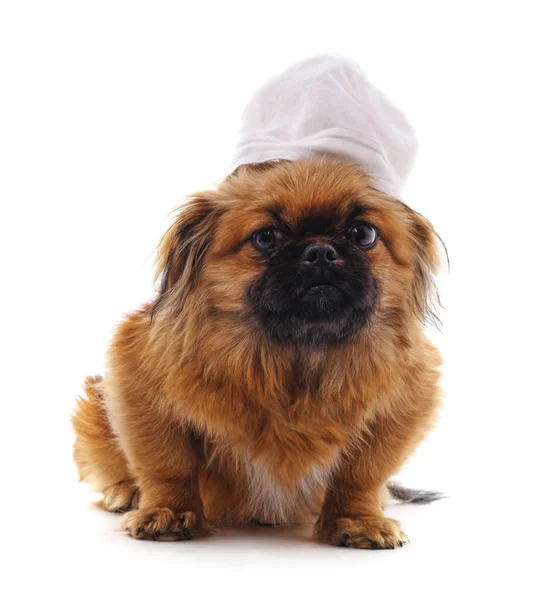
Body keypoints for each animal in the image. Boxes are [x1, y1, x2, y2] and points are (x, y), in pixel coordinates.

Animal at [72, 156, 442, 548]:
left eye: (362, 234)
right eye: (266, 237)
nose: (321, 251)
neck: (297, 354)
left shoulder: (404, 405)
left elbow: (361, 475)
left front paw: (357, 520)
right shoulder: (137, 385)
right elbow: (168, 463)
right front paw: (169, 511)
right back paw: (125, 492)